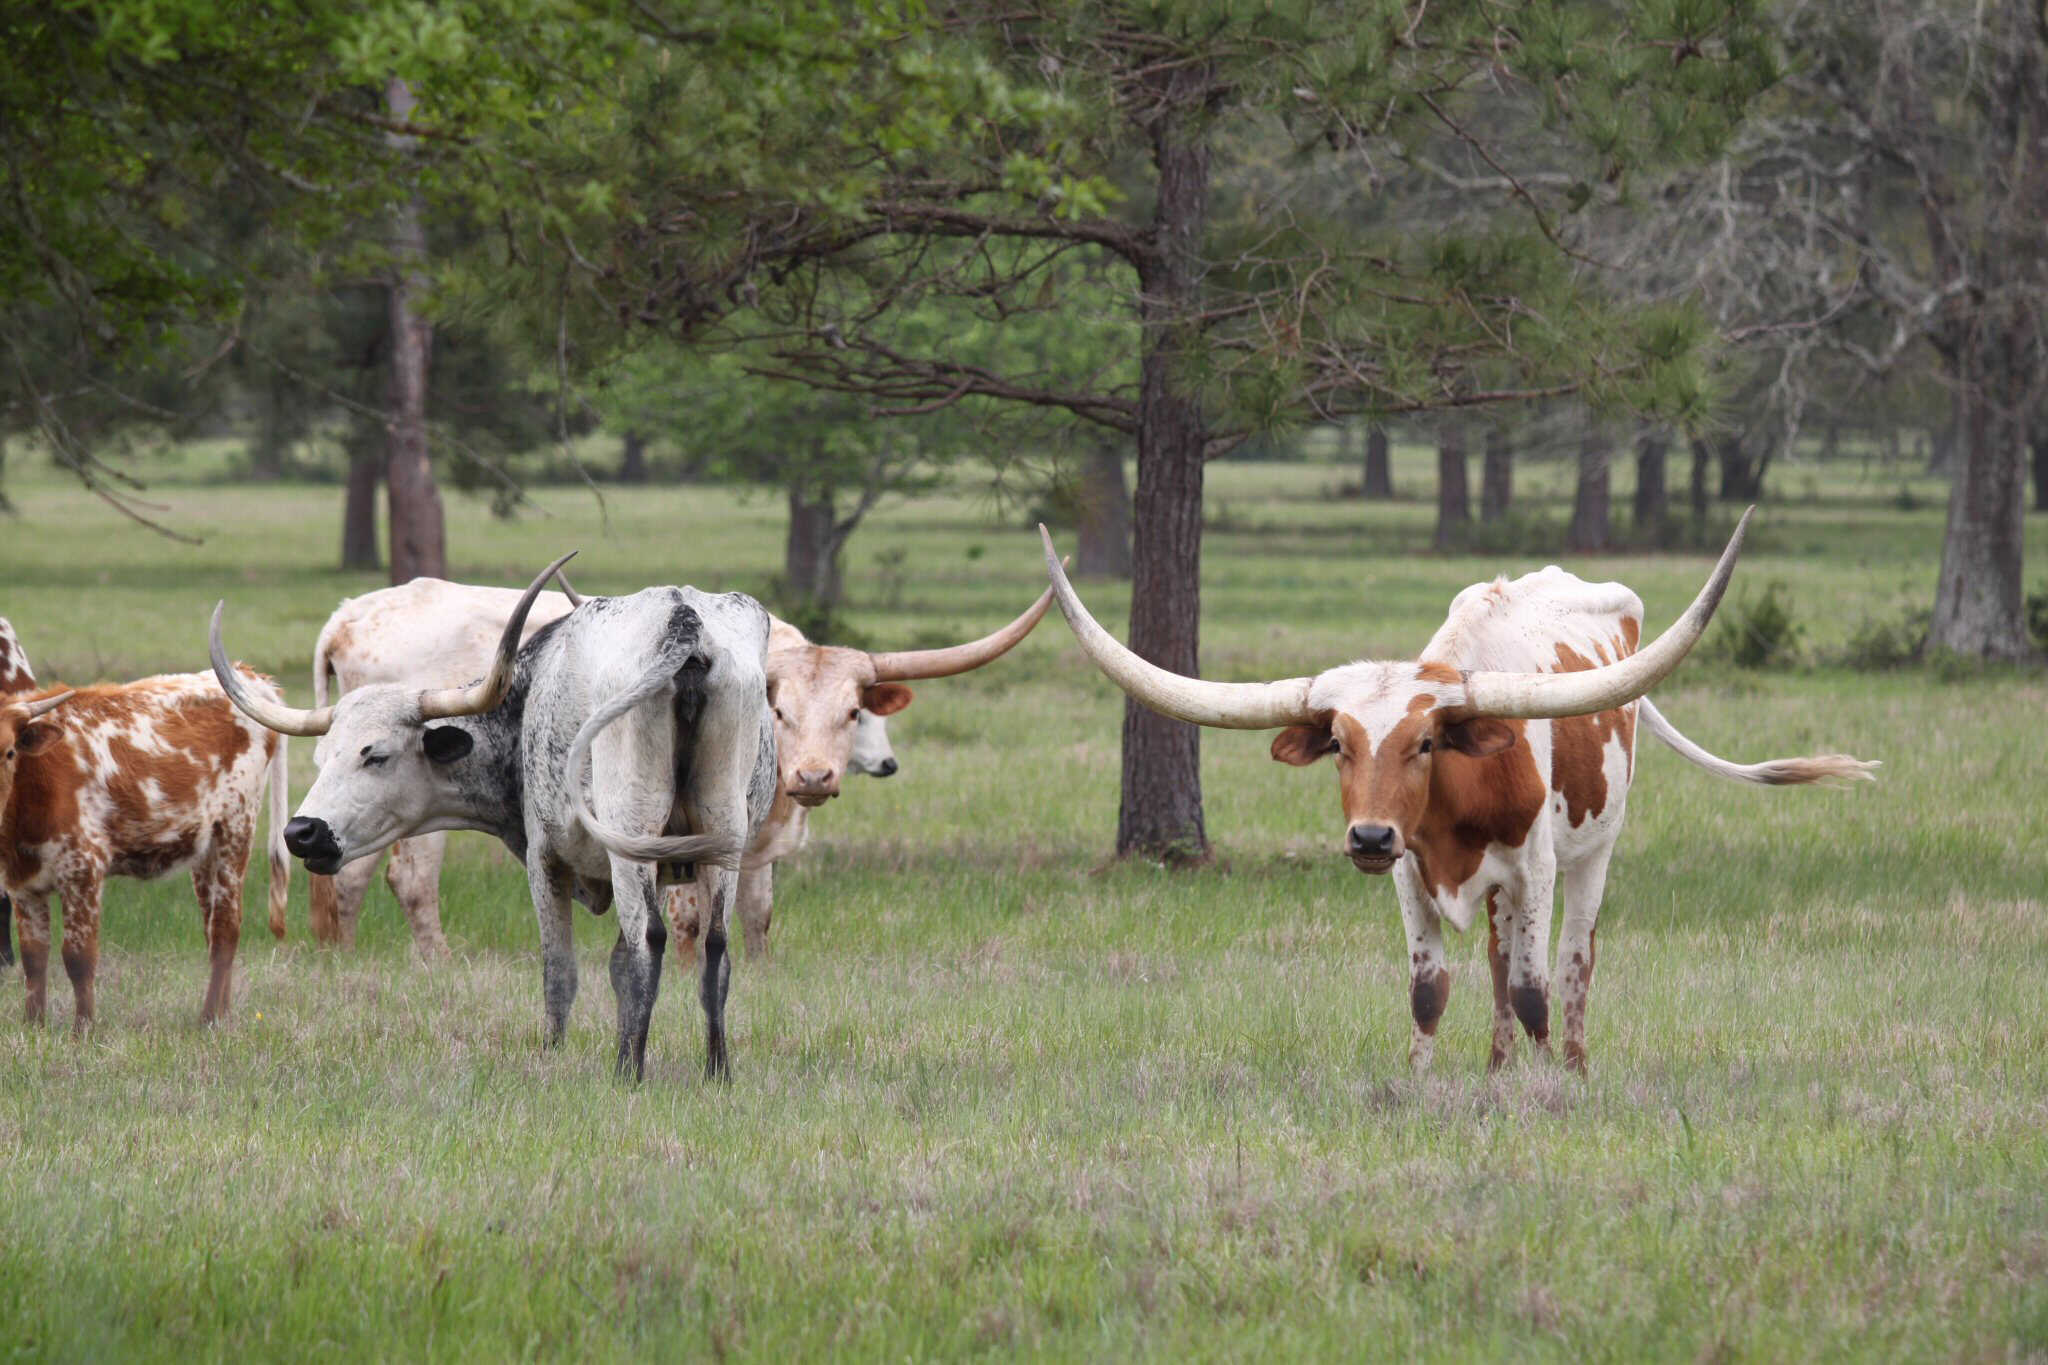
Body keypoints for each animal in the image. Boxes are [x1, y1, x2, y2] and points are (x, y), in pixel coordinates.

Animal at [0, 668, 292, 1032]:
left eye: (10, 752)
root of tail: (248, 675)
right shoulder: (23, 886)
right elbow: (34, 959)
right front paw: (34, 1027)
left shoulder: (83, 870)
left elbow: (78, 957)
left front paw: (83, 1030)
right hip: (206, 848)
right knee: (212, 928)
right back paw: (222, 1014)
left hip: (236, 828)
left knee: (226, 928)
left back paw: (209, 1018)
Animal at [211, 555, 779, 1080]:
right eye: (324, 755)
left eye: (376, 756)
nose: (303, 832)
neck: (526, 699)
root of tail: (682, 619)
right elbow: (619, 964)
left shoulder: (545, 857)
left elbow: (560, 969)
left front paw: (553, 1055)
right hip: (721, 829)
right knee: (715, 947)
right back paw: (717, 1071)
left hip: (631, 828)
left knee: (649, 941)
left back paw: (628, 1072)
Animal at [304, 580, 905, 957]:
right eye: (781, 710)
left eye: (854, 711)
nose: (814, 777)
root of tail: (348, 615)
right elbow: (687, 919)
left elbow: (754, 915)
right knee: (401, 877)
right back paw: (427, 958)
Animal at [667, 586, 1057, 965]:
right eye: (779, 711)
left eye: (854, 712)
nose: (813, 777)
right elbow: (688, 921)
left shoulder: (758, 849)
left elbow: (756, 918)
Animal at [1037, 512, 1876, 1075]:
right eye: (1340, 743)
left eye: (1425, 743)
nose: (1369, 837)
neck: (1457, 814)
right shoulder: (1411, 874)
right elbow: (1431, 989)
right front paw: (1421, 1082)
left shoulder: (1535, 866)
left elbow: (1537, 987)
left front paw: (1549, 1090)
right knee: (1502, 962)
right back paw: (1498, 1069)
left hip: (1592, 852)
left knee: (1572, 957)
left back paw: (1571, 1065)